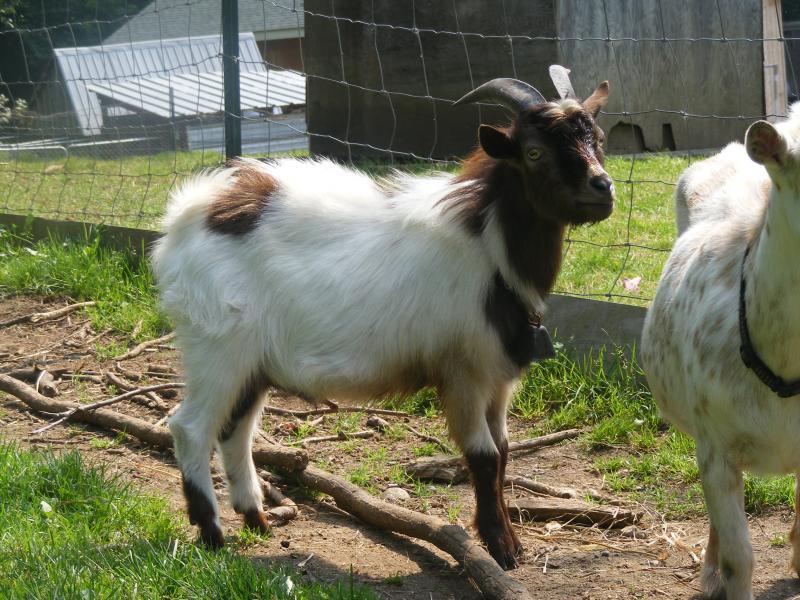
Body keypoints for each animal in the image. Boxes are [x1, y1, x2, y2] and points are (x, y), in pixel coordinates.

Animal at [151, 73, 612, 570]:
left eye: (599, 139)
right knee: (191, 427)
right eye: (533, 152)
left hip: (252, 362)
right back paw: (212, 533)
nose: (602, 188)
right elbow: (484, 457)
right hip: (216, 346)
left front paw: (510, 541)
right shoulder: (465, 372)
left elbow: (505, 452)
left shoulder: (498, 378)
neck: (488, 247)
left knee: (235, 430)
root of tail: (188, 216)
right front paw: (501, 549)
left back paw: (256, 520)